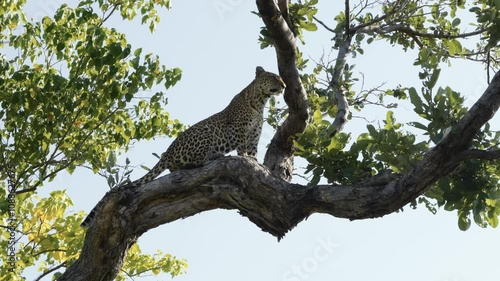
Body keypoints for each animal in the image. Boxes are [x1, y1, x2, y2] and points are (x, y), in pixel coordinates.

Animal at [81, 66, 286, 228]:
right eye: (273, 76)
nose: (284, 86)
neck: (260, 101)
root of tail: (168, 151)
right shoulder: (239, 131)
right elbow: (242, 149)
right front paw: (245, 159)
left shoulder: (254, 138)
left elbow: (253, 154)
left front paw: (257, 164)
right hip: (205, 133)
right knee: (194, 163)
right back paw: (215, 157)